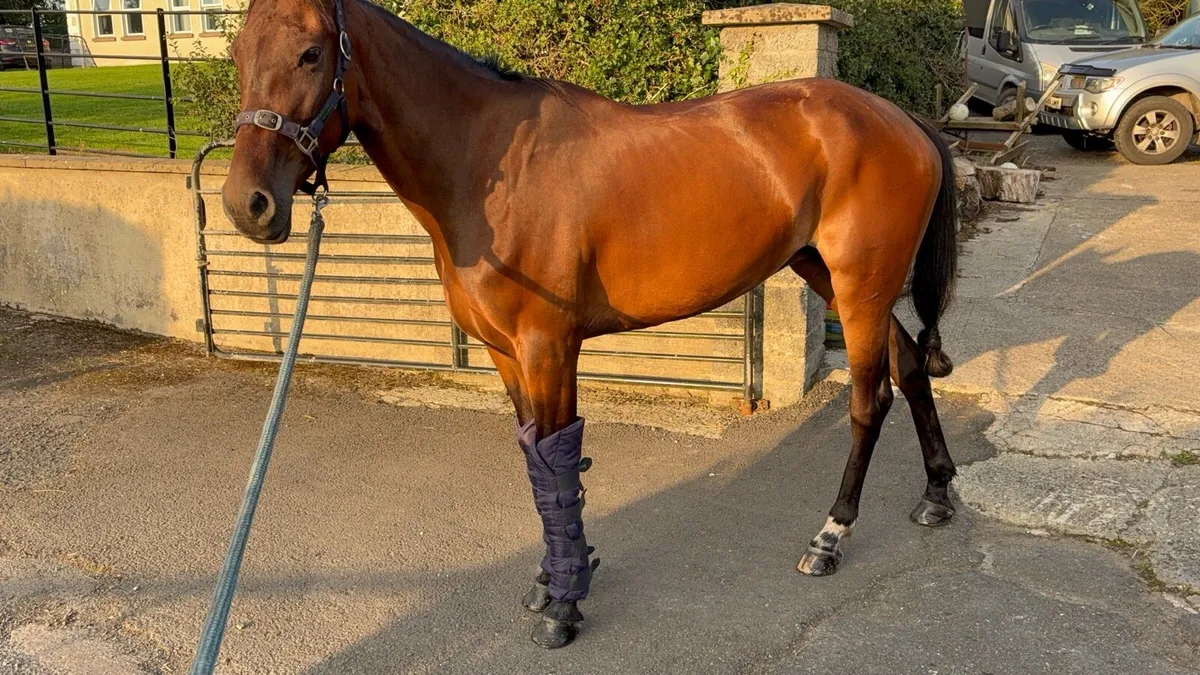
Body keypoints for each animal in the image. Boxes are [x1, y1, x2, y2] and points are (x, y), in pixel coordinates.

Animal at [221, 0, 960, 650]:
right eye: (237, 52)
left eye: (311, 53)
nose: (247, 204)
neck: (488, 164)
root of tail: (903, 120)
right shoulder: (506, 354)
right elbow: (539, 463)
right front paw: (551, 582)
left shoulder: (548, 347)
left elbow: (556, 460)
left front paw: (563, 609)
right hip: (829, 275)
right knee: (910, 367)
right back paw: (938, 495)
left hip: (859, 288)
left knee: (871, 399)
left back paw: (829, 537)